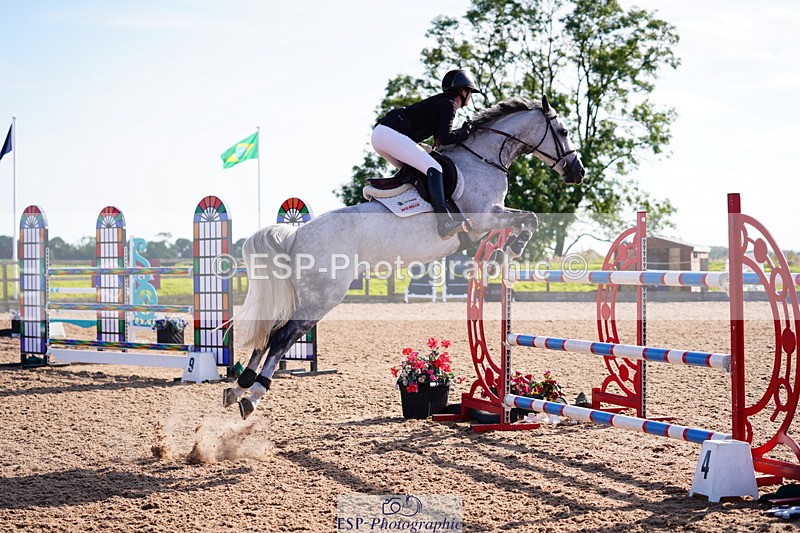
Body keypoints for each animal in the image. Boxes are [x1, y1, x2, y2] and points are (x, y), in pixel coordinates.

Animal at [223, 95, 585, 419]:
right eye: (564, 131)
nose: (577, 171)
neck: (483, 159)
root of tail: (296, 234)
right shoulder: (484, 217)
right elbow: (530, 218)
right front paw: (513, 249)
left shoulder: (489, 219)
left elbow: (522, 221)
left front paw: (501, 253)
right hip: (322, 298)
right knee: (282, 336)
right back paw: (252, 395)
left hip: (305, 295)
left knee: (269, 331)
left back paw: (238, 387)